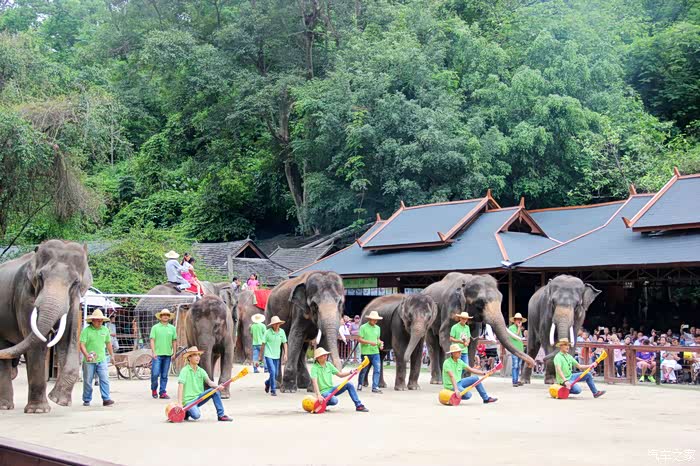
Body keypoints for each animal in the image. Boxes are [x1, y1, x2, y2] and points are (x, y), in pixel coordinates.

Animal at [0, 240, 92, 413]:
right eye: (40, 276)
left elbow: (69, 339)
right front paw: (38, 410)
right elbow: (37, 343)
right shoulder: (24, 297)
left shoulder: (74, 302)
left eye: (76, 282)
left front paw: (58, 400)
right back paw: (5, 407)